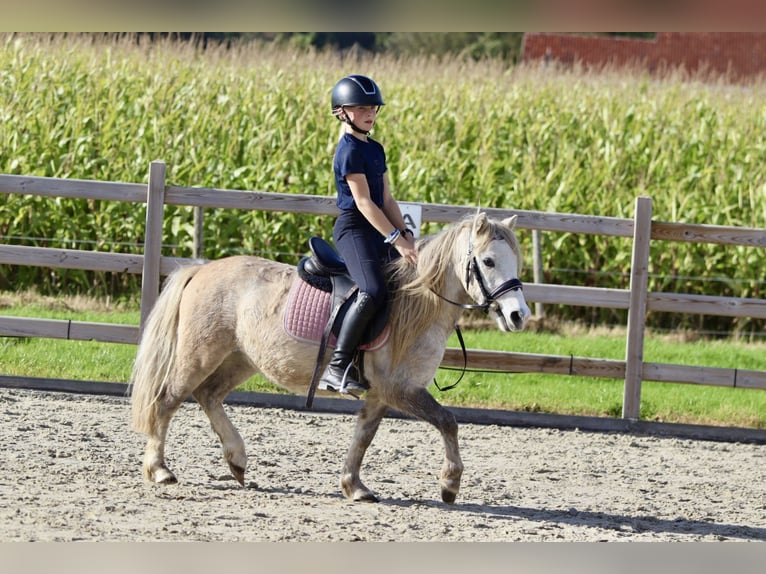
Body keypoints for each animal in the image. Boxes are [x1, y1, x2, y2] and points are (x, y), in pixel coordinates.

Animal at [130, 212, 528, 504]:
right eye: (488, 261)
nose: (517, 316)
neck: (417, 305)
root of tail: (202, 268)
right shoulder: (400, 389)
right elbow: (448, 422)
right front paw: (449, 485)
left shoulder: (382, 394)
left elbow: (364, 436)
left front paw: (354, 486)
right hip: (199, 354)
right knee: (167, 400)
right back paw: (160, 470)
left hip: (240, 359)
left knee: (208, 395)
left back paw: (237, 460)